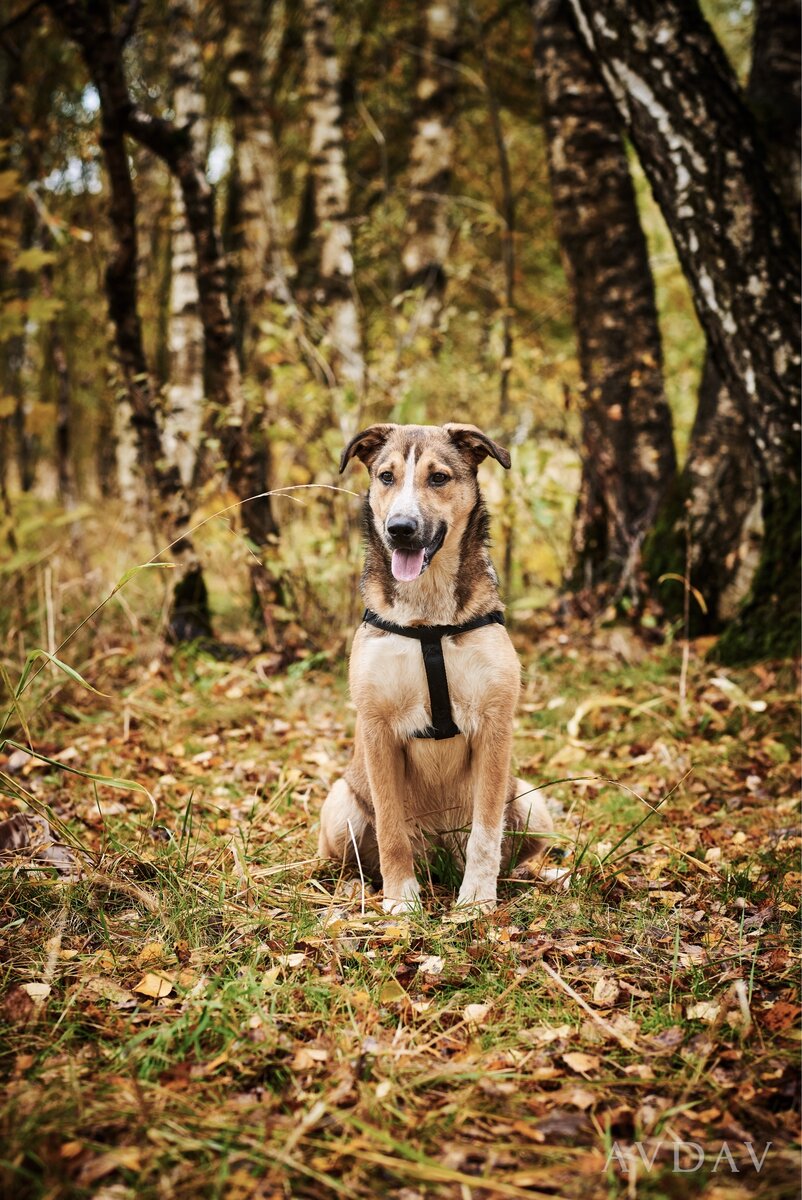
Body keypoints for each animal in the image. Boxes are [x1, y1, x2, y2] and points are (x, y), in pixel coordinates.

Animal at [316, 420, 552, 907]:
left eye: (438, 478)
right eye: (386, 477)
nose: (400, 529)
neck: (428, 620)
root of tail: (439, 857)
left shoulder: (495, 725)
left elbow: (487, 831)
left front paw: (477, 899)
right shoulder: (378, 729)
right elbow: (390, 830)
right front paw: (400, 901)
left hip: (533, 804)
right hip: (339, 804)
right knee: (353, 858)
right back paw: (361, 887)